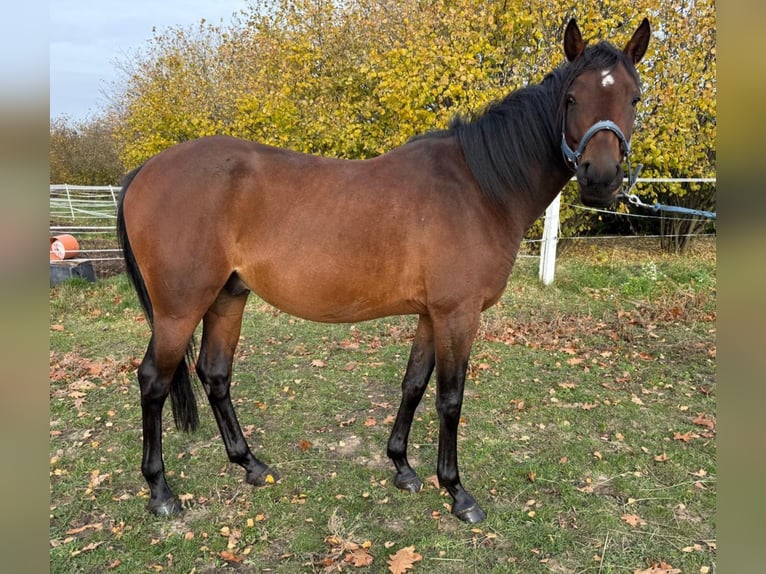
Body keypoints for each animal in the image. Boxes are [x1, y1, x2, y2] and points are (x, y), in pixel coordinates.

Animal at [117, 18, 650, 523]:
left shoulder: (431, 315)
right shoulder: (458, 314)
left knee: (215, 374)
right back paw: (161, 492)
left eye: (634, 97)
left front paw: (403, 468)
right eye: (572, 97)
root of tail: (145, 171)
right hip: (179, 310)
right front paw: (457, 492)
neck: (479, 187)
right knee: (154, 382)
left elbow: (413, 384)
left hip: (228, 296)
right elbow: (450, 398)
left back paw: (251, 464)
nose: (601, 179)